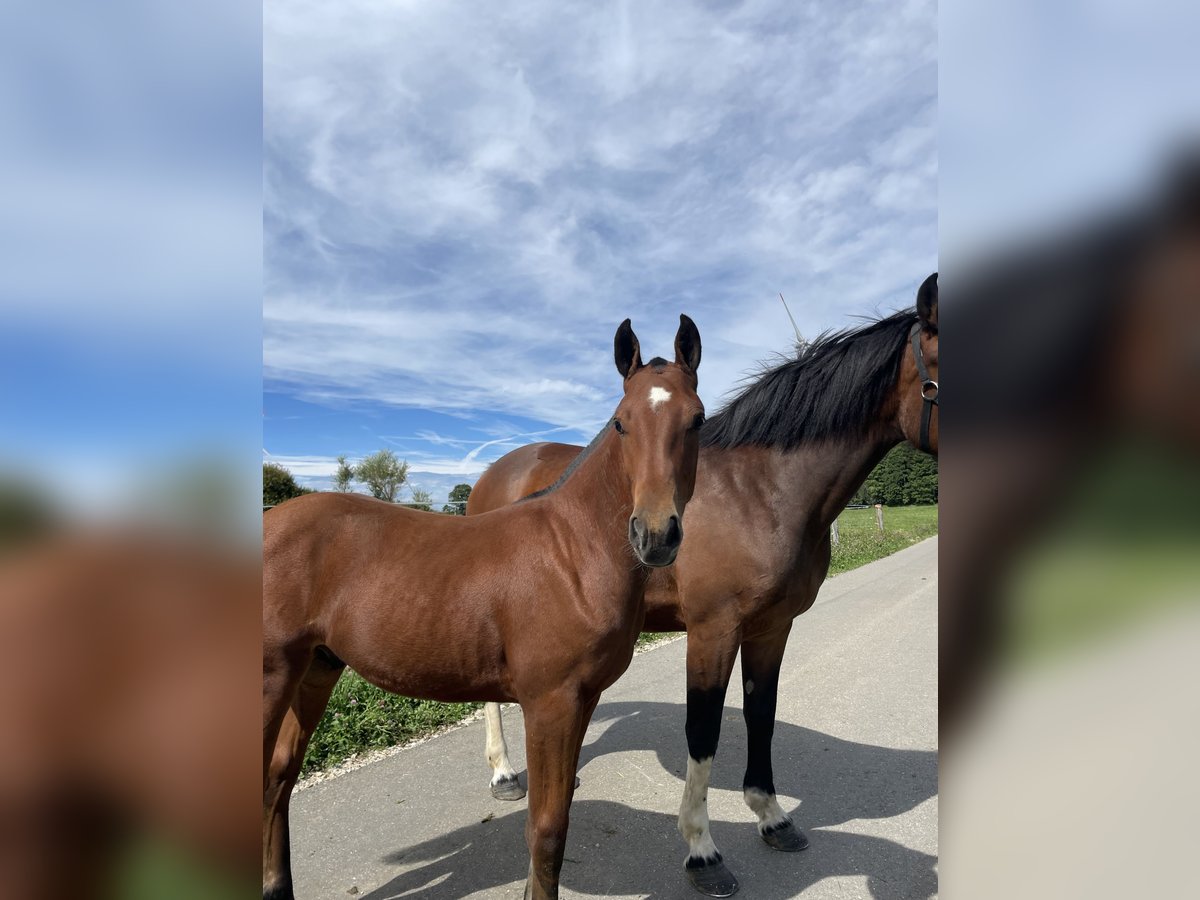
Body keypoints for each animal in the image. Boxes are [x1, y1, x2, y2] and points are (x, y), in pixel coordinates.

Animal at [265, 316, 700, 900]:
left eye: (697, 419)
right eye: (621, 423)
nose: (655, 536)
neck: (572, 550)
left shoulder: (581, 701)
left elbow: (557, 819)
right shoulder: (550, 703)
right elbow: (546, 830)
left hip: (315, 668)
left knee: (279, 777)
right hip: (272, 676)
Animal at [468, 278, 936, 897]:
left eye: (697, 420)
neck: (760, 490)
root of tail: (497, 472)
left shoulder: (772, 626)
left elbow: (761, 712)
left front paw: (772, 817)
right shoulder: (713, 629)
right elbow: (703, 729)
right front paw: (702, 851)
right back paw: (503, 774)